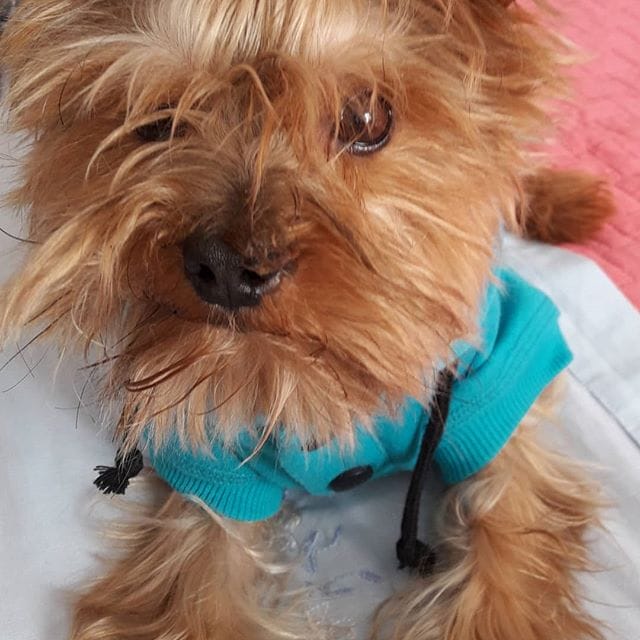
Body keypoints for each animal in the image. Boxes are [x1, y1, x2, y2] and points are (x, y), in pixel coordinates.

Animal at [0, 1, 615, 638]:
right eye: (155, 119)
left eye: (367, 119)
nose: (227, 267)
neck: (306, 376)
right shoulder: (211, 461)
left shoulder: (495, 375)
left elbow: (510, 542)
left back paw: (565, 201)